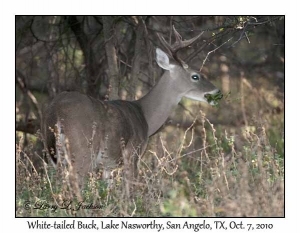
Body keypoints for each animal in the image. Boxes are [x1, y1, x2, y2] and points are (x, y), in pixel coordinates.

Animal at [41, 26, 221, 186]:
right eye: (195, 76)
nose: (218, 91)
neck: (145, 115)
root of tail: (56, 110)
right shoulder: (133, 154)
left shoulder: (109, 165)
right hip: (82, 150)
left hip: (53, 155)